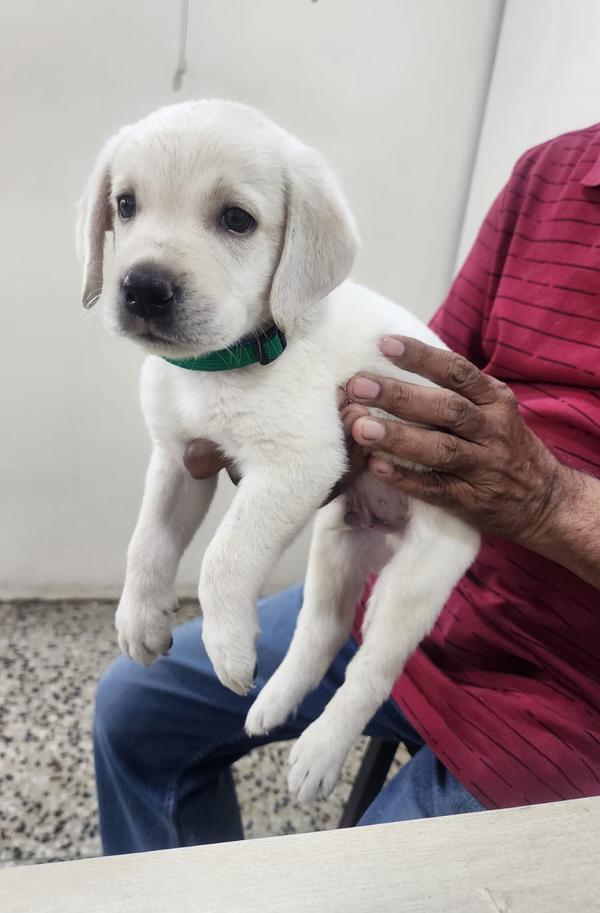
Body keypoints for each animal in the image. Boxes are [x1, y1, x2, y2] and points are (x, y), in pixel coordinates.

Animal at [77, 98, 478, 800]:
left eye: (237, 219)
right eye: (125, 205)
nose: (143, 288)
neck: (217, 367)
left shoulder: (299, 462)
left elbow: (223, 558)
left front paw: (228, 646)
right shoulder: (180, 458)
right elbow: (147, 541)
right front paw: (140, 619)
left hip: (420, 577)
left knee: (370, 669)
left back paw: (319, 751)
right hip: (336, 542)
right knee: (321, 630)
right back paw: (273, 704)